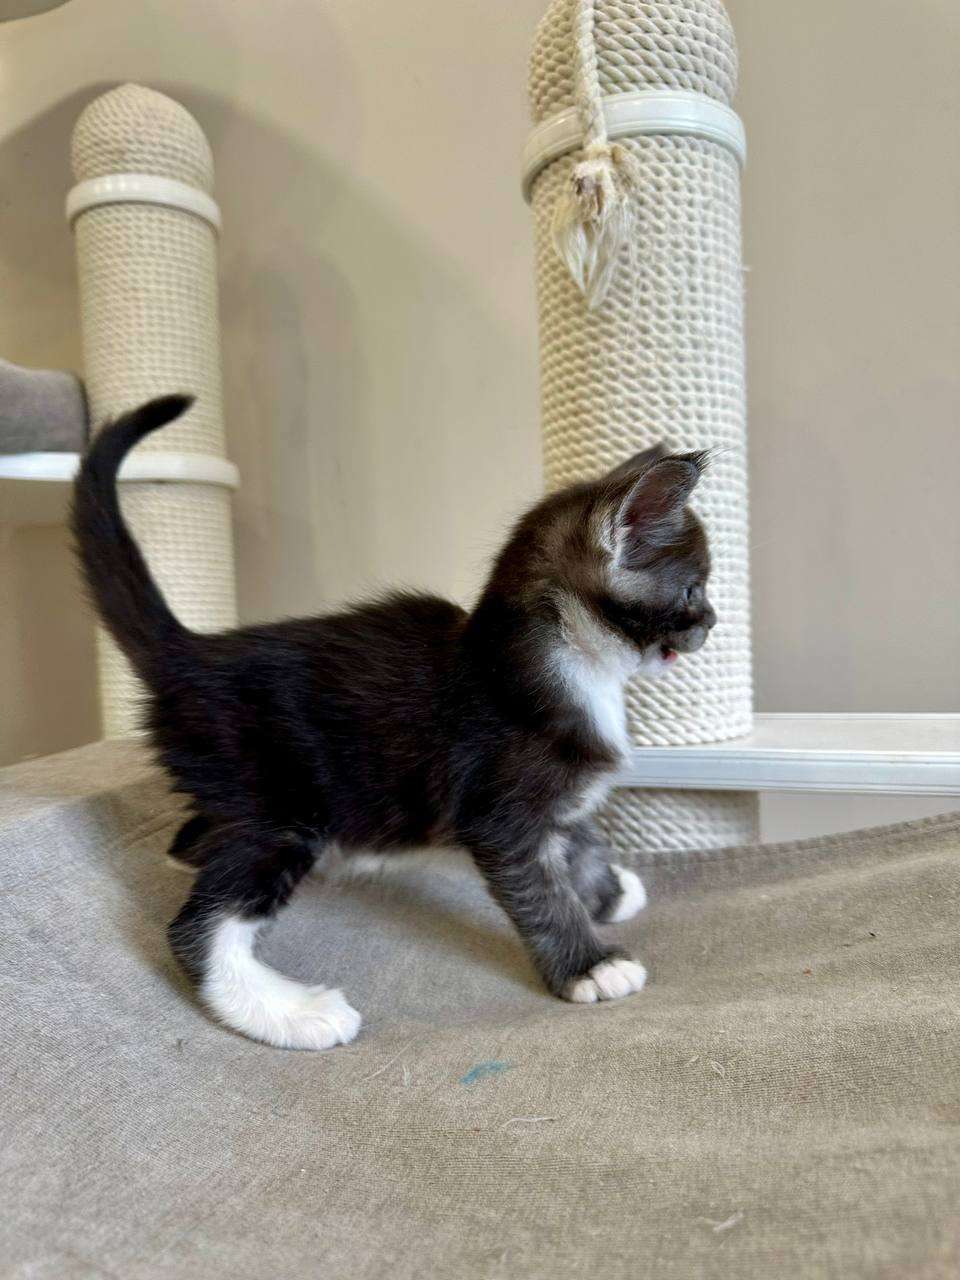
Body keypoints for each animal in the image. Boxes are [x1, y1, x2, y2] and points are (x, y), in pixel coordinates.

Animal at [72, 395, 716, 1051]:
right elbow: (540, 890)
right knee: (197, 926)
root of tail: (195, 653)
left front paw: (608, 891)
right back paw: (290, 1010)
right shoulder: (500, 813)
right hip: (275, 806)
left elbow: (578, 835)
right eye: (694, 590)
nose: (712, 622)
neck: (557, 664)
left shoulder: (556, 796)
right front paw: (591, 965)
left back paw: (192, 852)